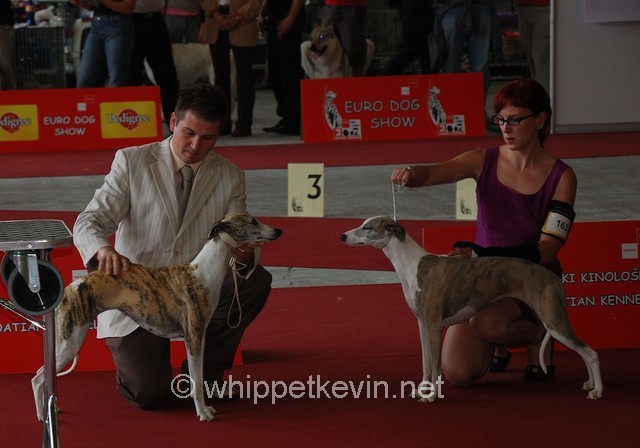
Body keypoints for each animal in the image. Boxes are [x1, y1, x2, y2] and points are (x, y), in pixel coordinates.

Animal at [32, 215, 282, 422]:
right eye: (252, 221)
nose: (278, 231)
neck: (203, 272)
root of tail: (70, 288)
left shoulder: (200, 335)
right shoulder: (193, 336)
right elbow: (196, 378)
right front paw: (203, 412)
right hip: (70, 341)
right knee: (38, 378)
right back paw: (42, 417)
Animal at [342, 215, 604, 400]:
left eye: (367, 227)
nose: (342, 236)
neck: (413, 265)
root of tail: (554, 278)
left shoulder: (434, 325)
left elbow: (435, 365)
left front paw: (432, 396)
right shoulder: (422, 324)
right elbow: (426, 363)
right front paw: (420, 390)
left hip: (553, 319)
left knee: (589, 352)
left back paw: (597, 391)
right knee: (582, 351)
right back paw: (590, 384)